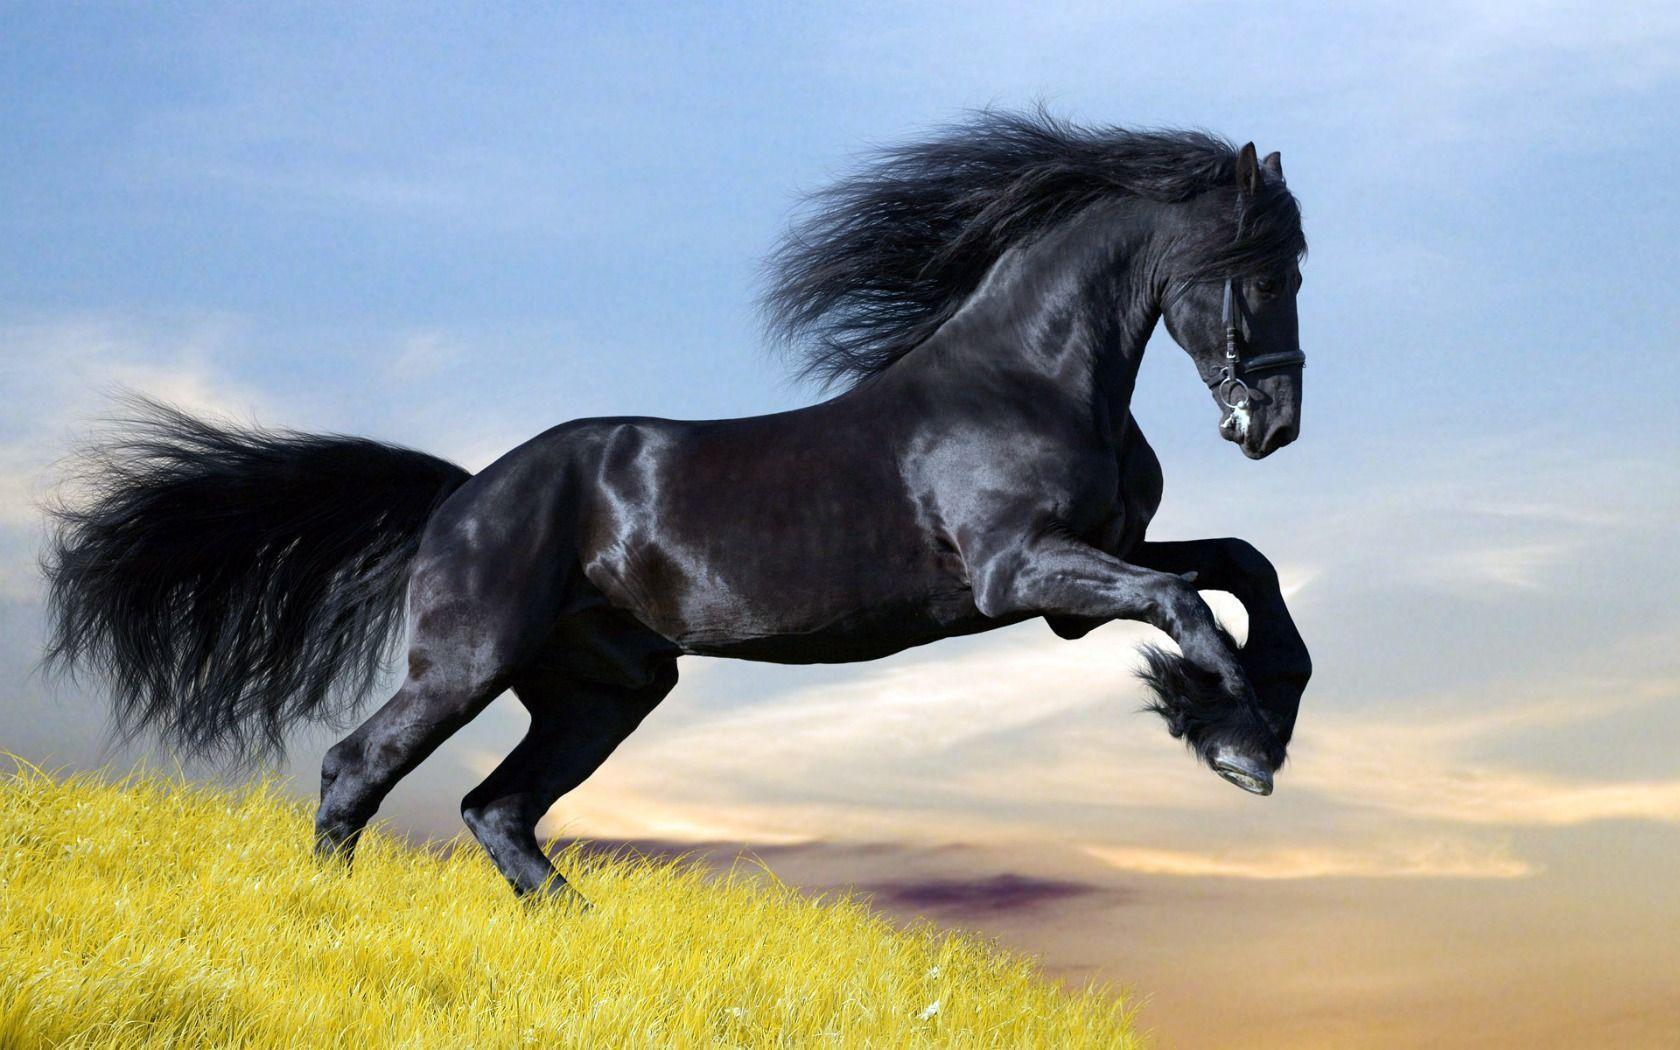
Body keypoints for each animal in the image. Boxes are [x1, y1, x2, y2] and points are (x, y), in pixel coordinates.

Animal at [43, 110, 1312, 903]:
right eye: (1262, 270)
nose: (1275, 425)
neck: (1028, 377)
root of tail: (463, 495)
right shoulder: (1023, 574)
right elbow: (1186, 604)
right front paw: (1235, 741)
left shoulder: (1085, 572)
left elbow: (1242, 567)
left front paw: (1256, 715)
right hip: (469, 662)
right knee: (358, 769)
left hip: (603, 690)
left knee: (497, 808)